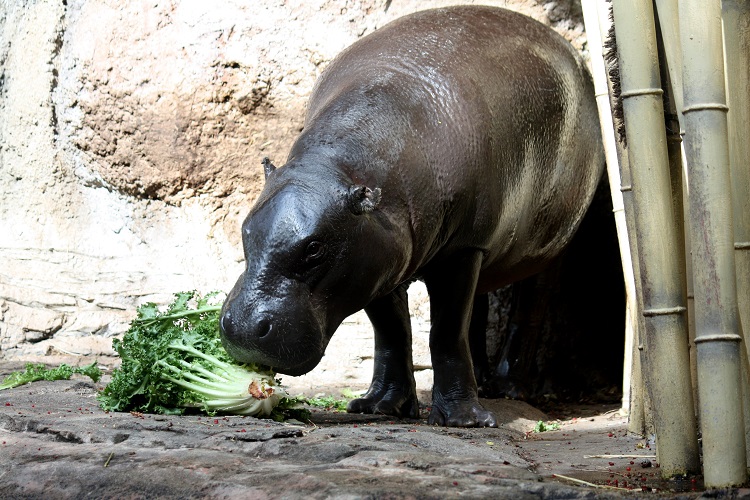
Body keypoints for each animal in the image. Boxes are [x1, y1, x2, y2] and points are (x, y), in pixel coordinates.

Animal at [222, 4, 604, 426]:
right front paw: (379, 406)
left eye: (314, 248)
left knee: (529, 308)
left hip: (548, 245)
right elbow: (391, 333)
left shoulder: (460, 249)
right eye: (245, 231)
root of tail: (574, 57)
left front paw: (465, 420)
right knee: (477, 312)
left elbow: (446, 332)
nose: (242, 328)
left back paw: (511, 388)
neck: (336, 167)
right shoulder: (374, 258)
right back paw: (484, 381)